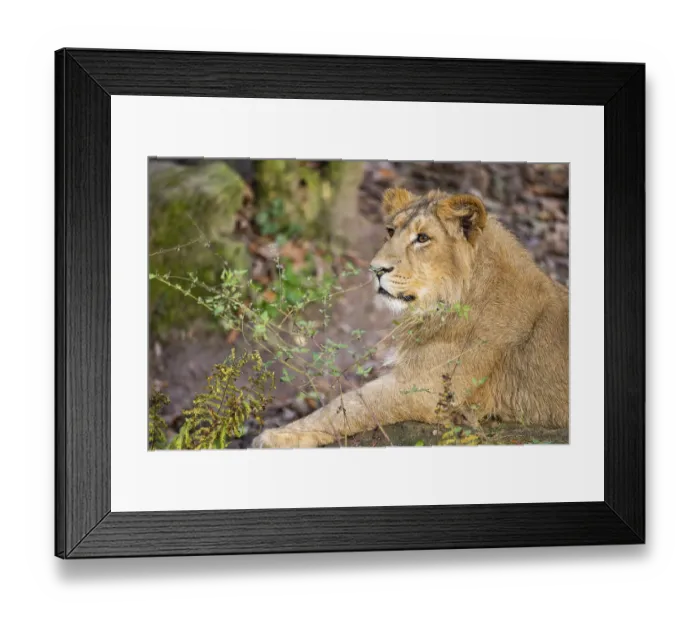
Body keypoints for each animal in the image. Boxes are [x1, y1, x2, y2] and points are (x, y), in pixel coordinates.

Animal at [252, 188, 569, 448]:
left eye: (422, 238)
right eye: (390, 231)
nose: (376, 269)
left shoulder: (423, 389)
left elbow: (347, 405)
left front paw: (275, 437)